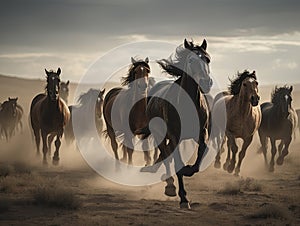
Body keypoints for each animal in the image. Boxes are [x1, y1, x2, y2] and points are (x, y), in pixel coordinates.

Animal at [140, 39, 211, 208]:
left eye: (208, 59)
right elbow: (177, 161)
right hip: (159, 135)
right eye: (191, 60)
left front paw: (188, 169)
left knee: (166, 154)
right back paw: (170, 186)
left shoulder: (202, 132)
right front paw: (184, 199)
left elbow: (201, 153)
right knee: (166, 154)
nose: (206, 82)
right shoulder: (174, 136)